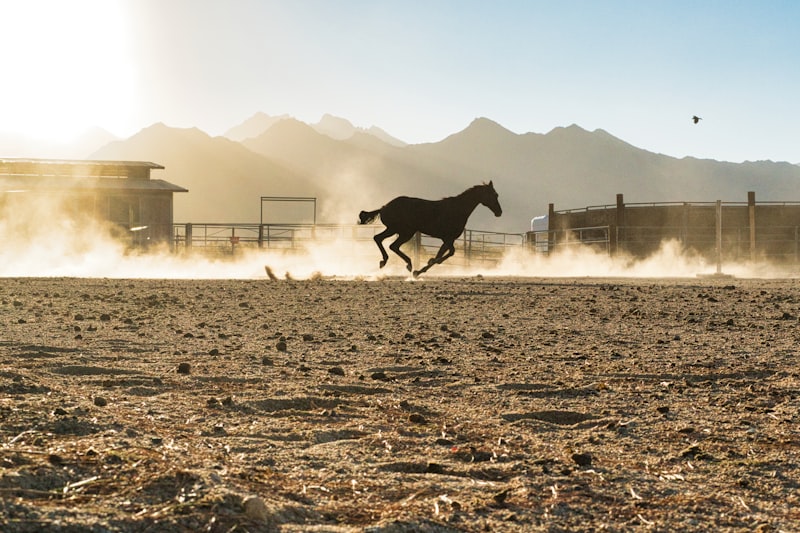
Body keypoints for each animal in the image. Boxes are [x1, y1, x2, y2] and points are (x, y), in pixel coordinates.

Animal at [358, 181, 502, 277]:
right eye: (493, 195)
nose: (499, 212)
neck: (458, 210)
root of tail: (384, 207)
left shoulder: (448, 239)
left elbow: (446, 253)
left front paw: (422, 269)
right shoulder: (448, 238)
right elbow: (446, 254)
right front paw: (420, 269)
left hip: (395, 230)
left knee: (380, 239)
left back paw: (386, 262)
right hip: (405, 232)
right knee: (391, 245)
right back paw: (408, 265)